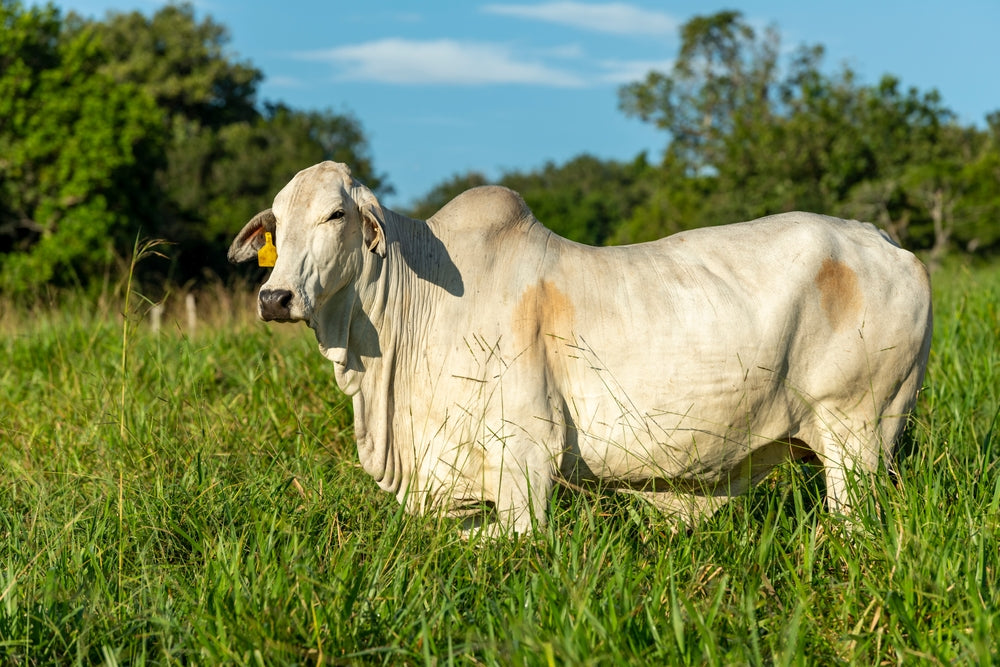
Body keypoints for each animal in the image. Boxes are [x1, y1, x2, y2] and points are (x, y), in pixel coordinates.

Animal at [229, 161, 932, 535]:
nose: (275, 296)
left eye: (336, 215)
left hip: (857, 437)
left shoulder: (526, 465)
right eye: (276, 222)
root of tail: (884, 241)